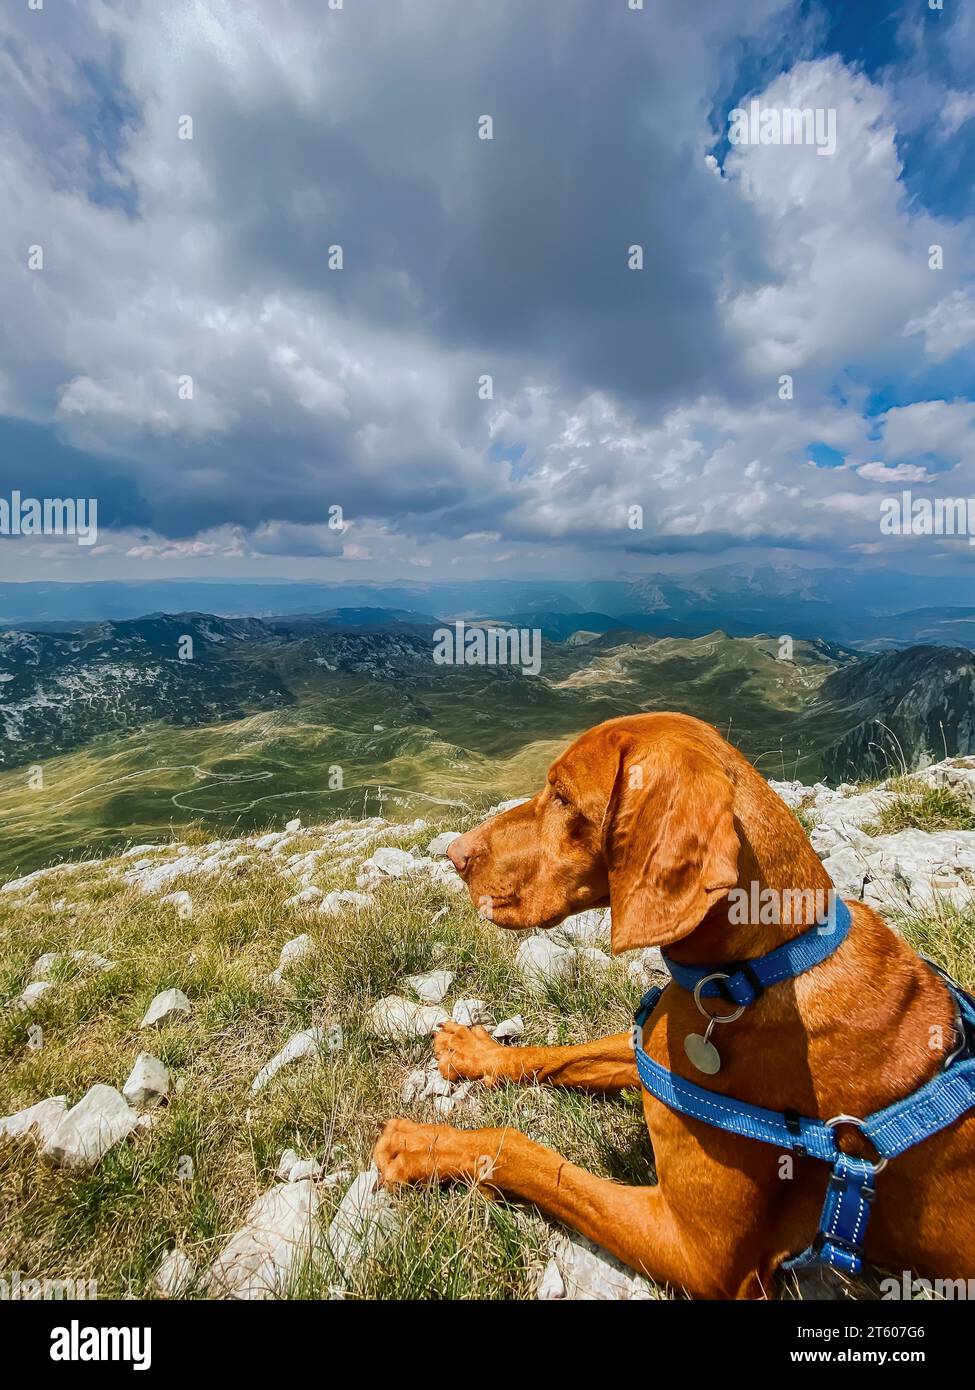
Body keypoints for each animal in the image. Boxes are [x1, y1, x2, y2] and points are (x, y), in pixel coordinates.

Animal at [369, 711, 973, 1295]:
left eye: (562, 796)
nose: (455, 854)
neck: (750, 973)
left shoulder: (700, 1257)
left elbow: (522, 1150)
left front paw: (422, 1145)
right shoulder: (654, 1050)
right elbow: (562, 1054)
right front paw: (476, 1051)